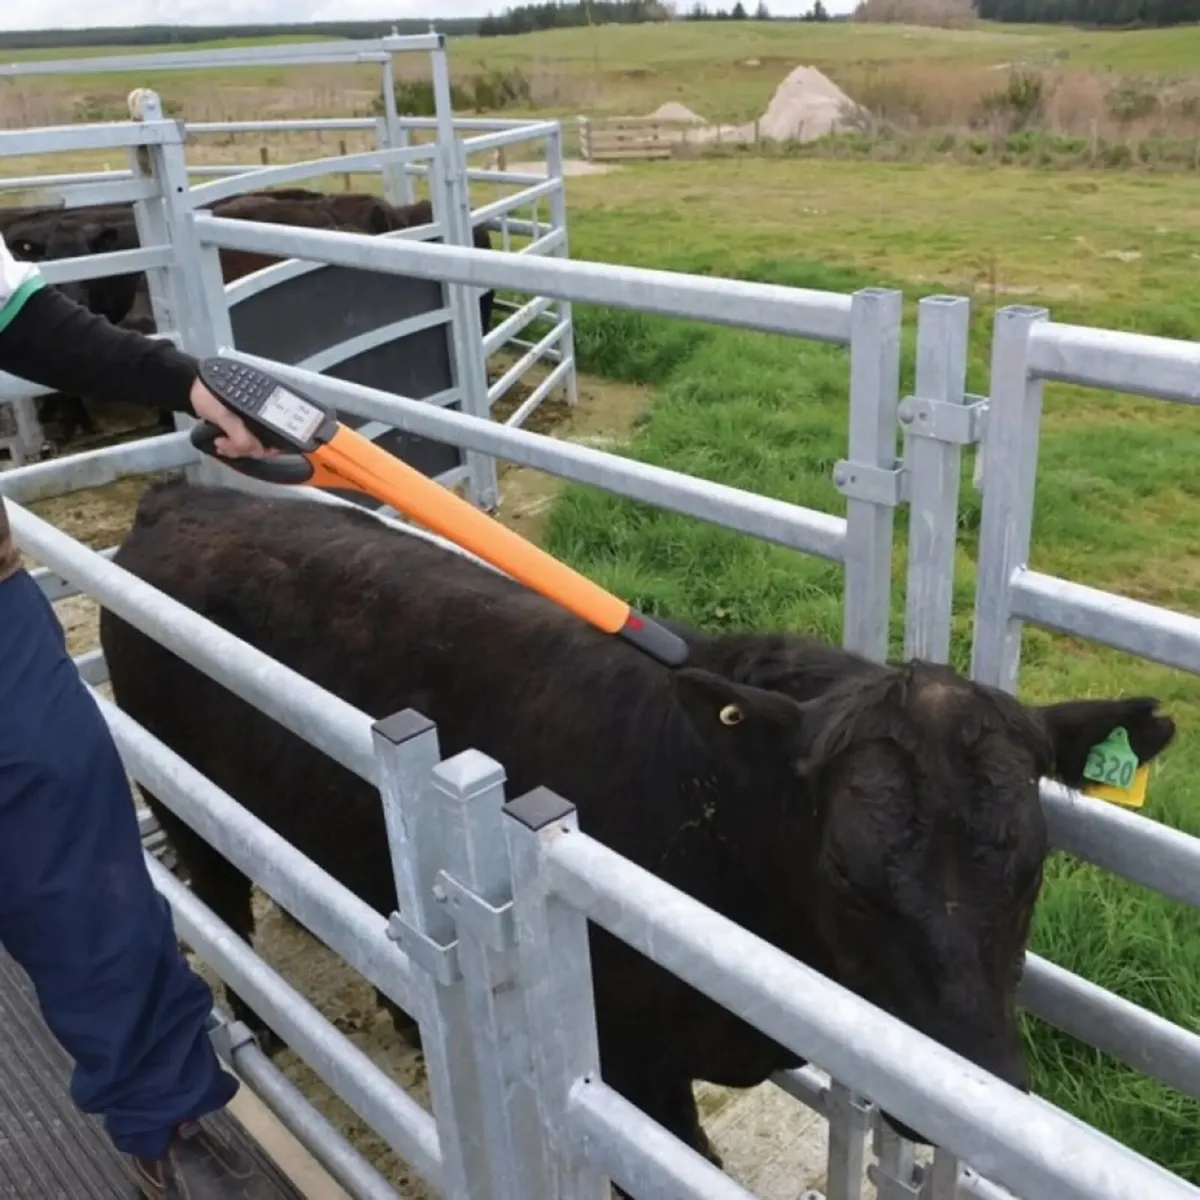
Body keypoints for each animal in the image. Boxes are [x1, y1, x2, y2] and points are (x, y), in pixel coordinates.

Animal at [98, 478, 1178, 1170]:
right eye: (846, 871)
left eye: (1034, 858)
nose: (988, 1080)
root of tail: (183, 497)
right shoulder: (628, 1068)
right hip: (184, 805)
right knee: (224, 907)